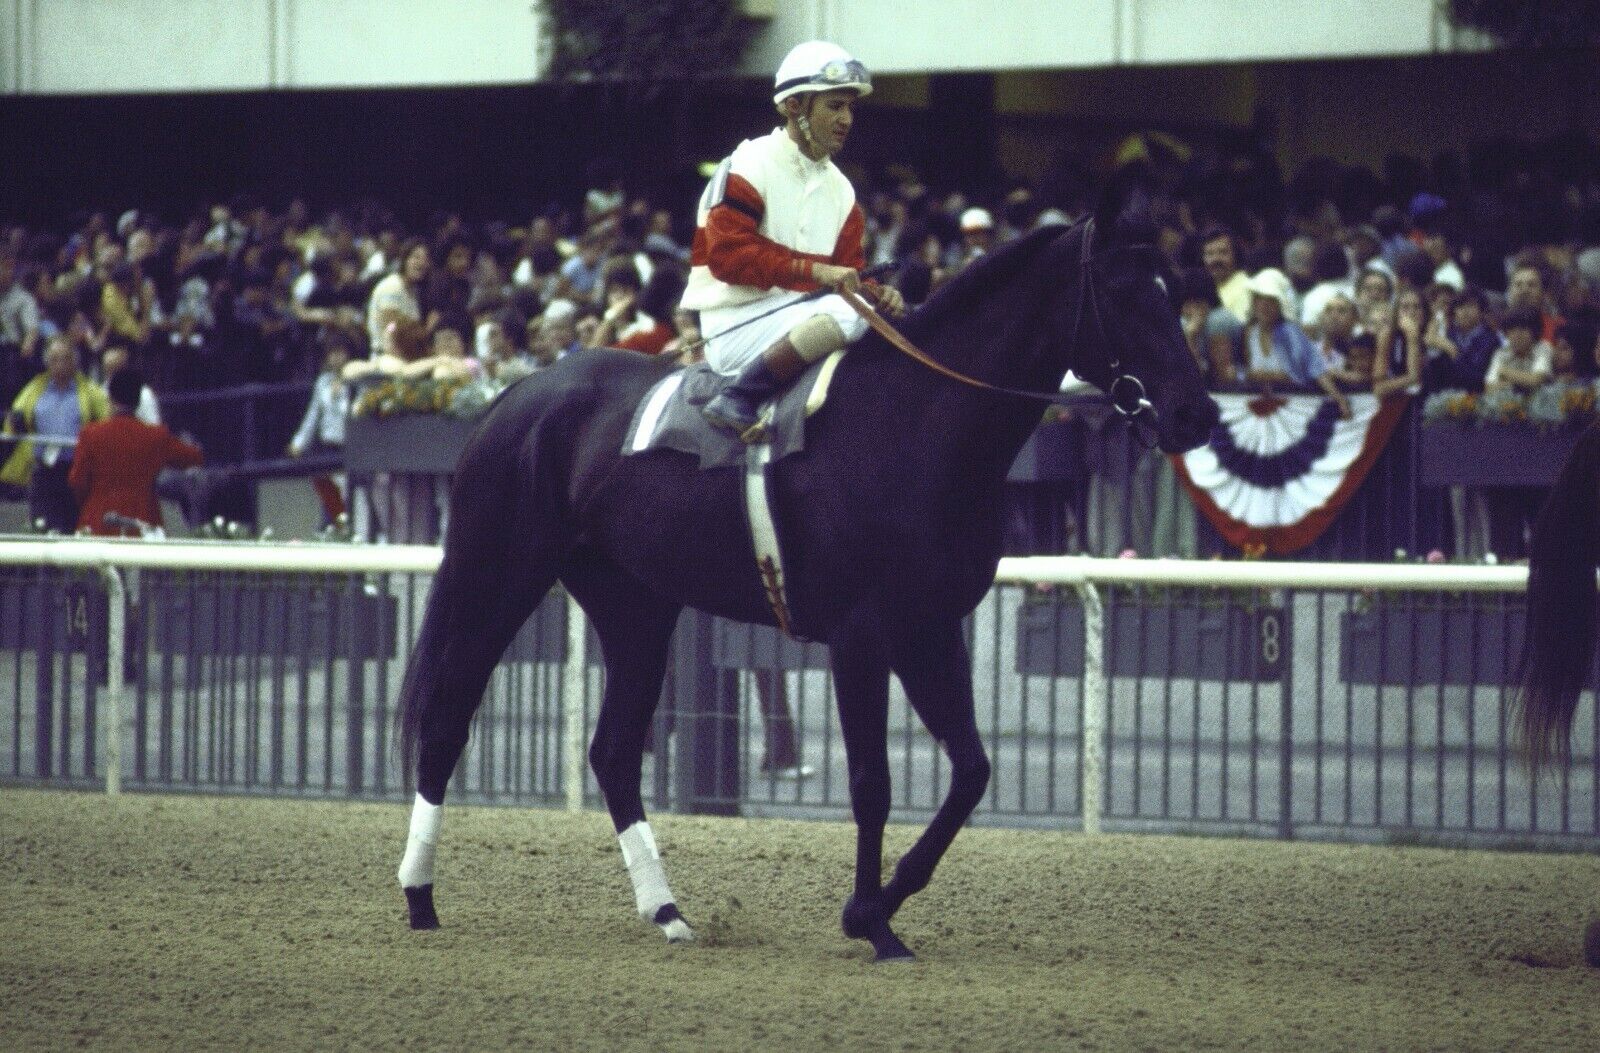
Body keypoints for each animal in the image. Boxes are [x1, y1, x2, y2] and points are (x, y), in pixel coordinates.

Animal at [396, 194, 1209, 960]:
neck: (919, 422)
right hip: (499, 572)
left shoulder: (929, 626)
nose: (1194, 415)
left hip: (636, 605)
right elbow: (872, 783)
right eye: (1127, 294)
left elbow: (973, 771)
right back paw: (420, 896)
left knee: (615, 750)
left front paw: (877, 904)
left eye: (1175, 291)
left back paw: (668, 911)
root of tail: (519, 391)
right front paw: (873, 922)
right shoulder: (861, 634)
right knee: (447, 717)